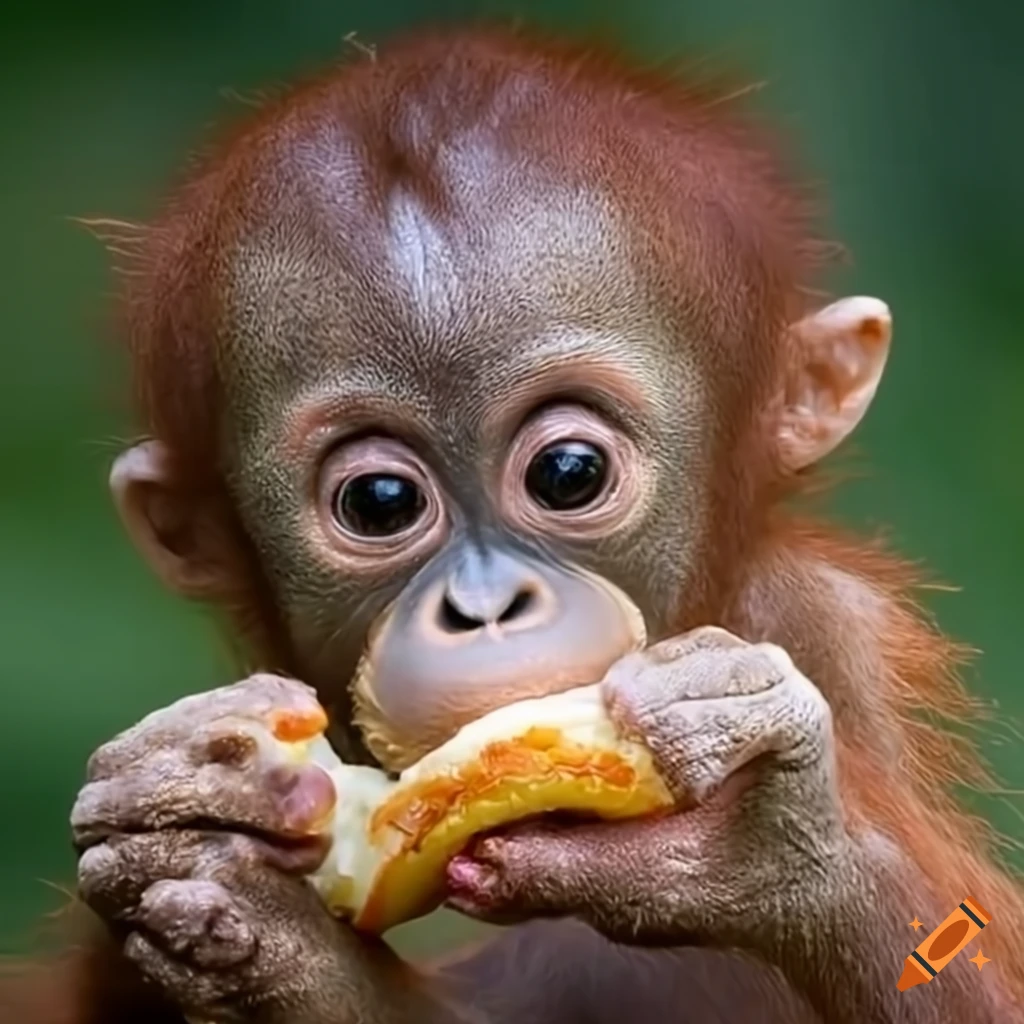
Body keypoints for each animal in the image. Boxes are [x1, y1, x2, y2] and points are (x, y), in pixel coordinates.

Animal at [3, 22, 1023, 1024]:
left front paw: (778, 827)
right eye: (381, 502)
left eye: (568, 474)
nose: (486, 605)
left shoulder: (826, 632)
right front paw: (203, 842)